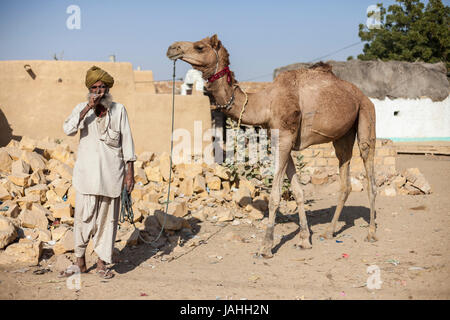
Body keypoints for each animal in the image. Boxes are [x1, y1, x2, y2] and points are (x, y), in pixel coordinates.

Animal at [167, 35, 378, 258]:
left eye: (199, 47)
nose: (172, 48)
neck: (264, 104)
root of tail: (362, 95)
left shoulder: (285, 137)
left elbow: (275, 195)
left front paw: (266, 246)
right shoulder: (283, 140)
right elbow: (298, 191)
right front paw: (304, 240)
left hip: (366, 112)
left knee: (369, 166)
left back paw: (371, 233)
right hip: (343, 134)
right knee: (345, 175)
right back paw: (329, 231)